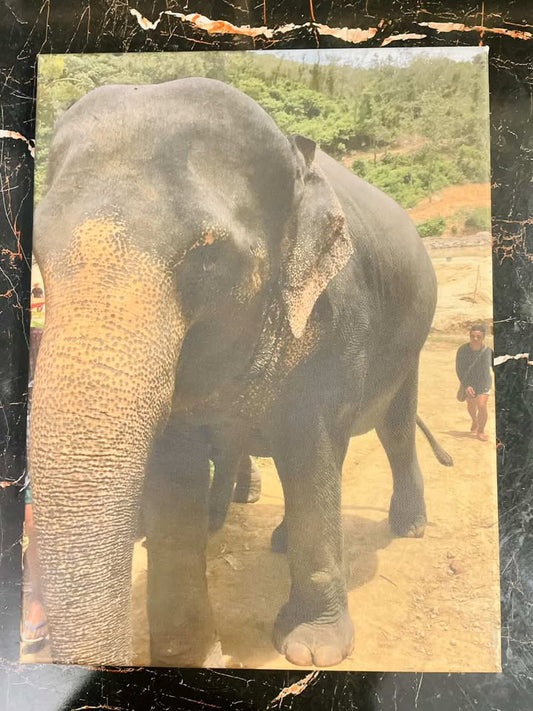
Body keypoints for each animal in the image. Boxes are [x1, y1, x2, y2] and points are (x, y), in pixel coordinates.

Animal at [30, 77, 451, 669]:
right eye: (37, 251)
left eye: (208, 258)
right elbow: (176, 472)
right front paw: (190, 656)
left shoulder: (333, 314)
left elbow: (309, 446)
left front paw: (313, 650)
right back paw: (275, 536)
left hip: (410, 338)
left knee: (393, 427)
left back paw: (409, 527)